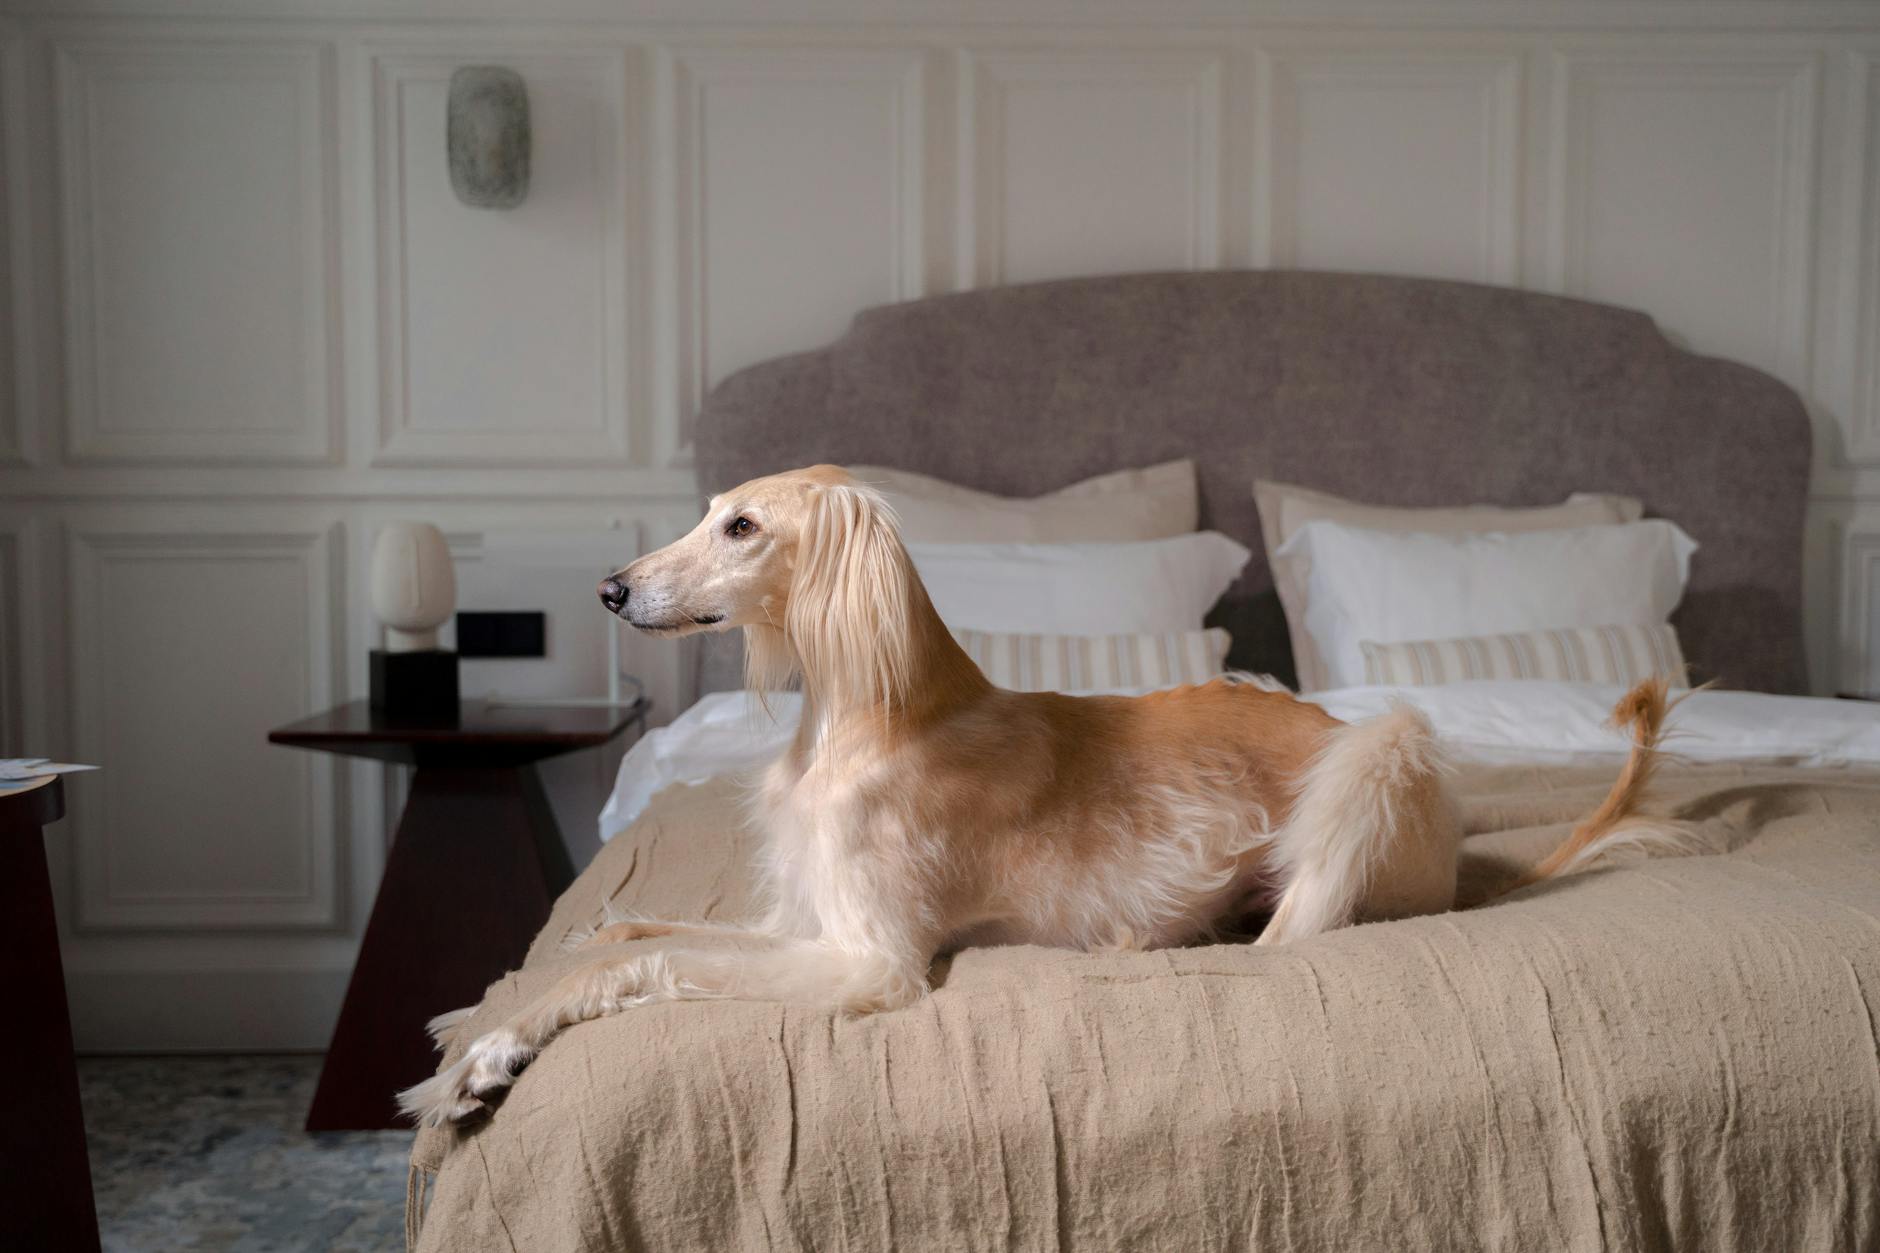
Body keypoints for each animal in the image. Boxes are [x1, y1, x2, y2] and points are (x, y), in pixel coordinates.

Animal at [404, 460, 1684, 1121]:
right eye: (702, 510)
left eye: (742, 524)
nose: (610, 590)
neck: (874, 715)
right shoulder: (798, 917)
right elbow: (629, 929)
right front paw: (484, 1012)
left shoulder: (870, 960)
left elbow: (644, 957)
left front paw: (483, 1050)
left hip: (1376, 751)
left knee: (1287, 937)